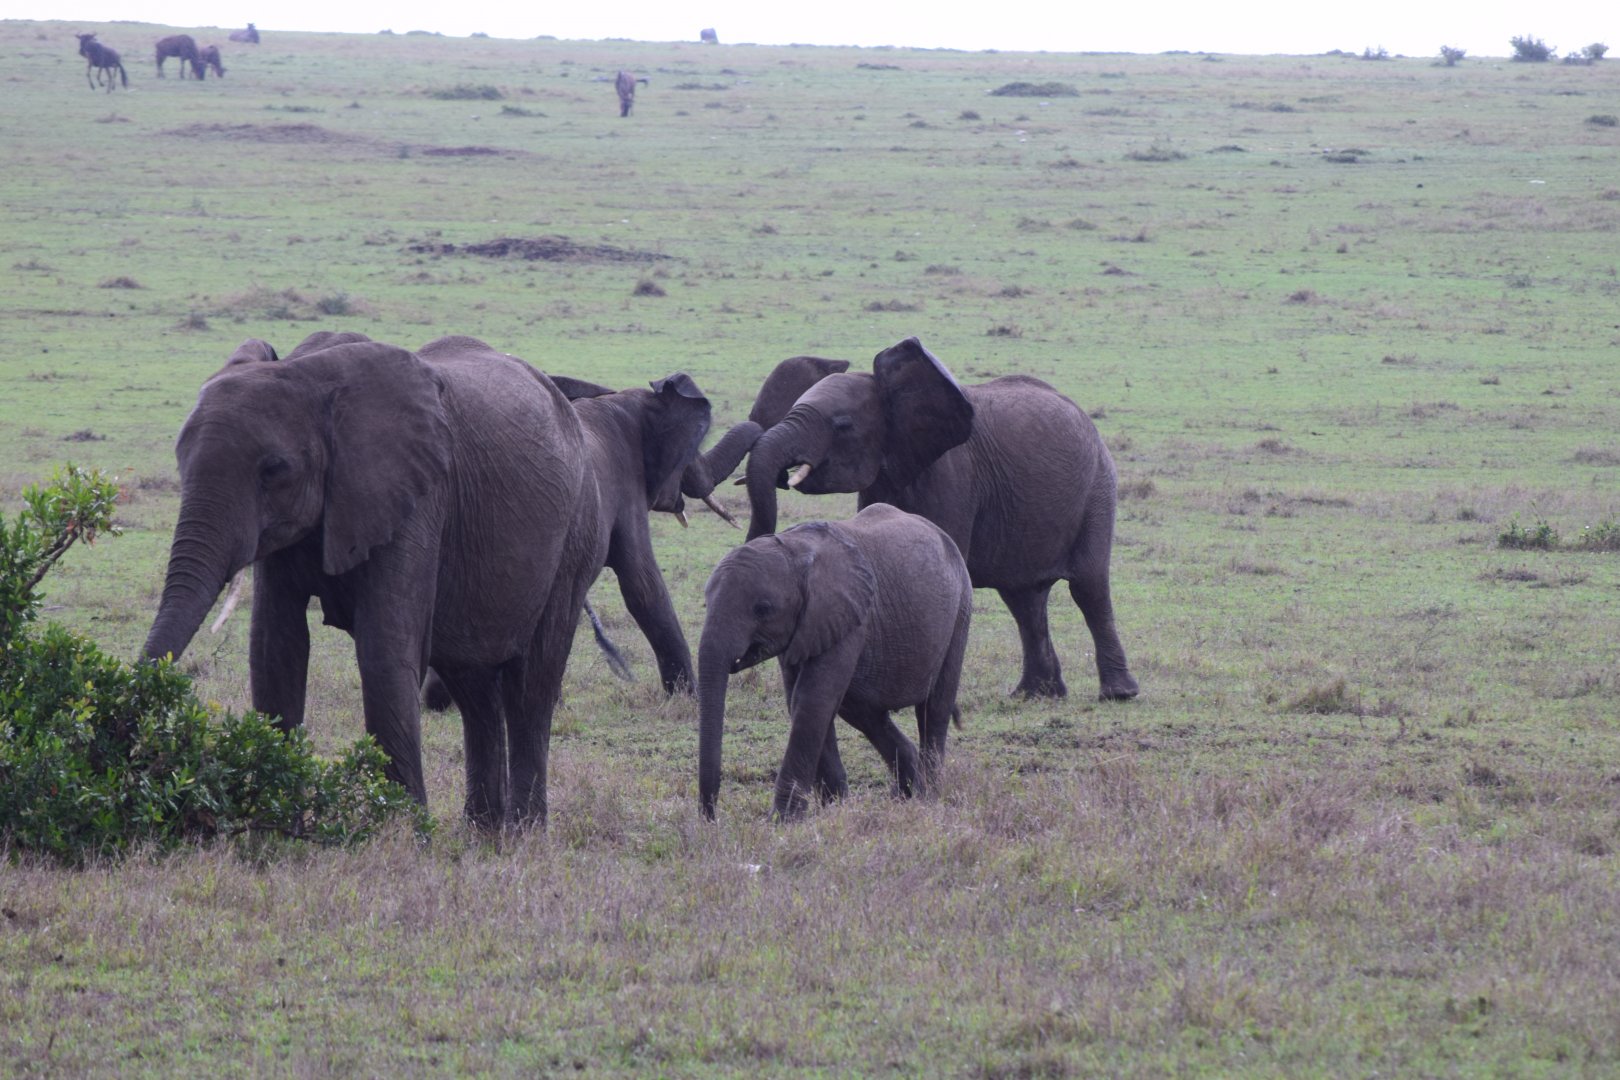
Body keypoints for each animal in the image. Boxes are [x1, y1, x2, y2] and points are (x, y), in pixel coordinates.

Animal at [142, 331, 600, 828]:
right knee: (473, 686)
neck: (307, 373)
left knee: (531, 684)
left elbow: (383, 650)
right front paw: (276, 825)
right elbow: (274, 649)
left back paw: (523, 831)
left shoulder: (416, 496)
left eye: (274, 471)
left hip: (575, 531)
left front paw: (404, 832)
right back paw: (484, 831)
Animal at [697, 503, 972, 821]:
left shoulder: (847, 616)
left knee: (934, 707)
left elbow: (813, 699)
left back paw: (928, 796)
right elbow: (801, 699)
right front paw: (835, 809)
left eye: (762, 609)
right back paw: (906, 794)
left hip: (960, 609)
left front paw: (784, 821)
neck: (795, 550)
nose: (711, 818)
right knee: (862, 709)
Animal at [743, 336, 1138, 703]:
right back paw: (1034, 695)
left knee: (1087, 587)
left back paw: (1116, 694)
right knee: (1024, 600)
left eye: (842, 424)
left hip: (1098, 489)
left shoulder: (952, 475)